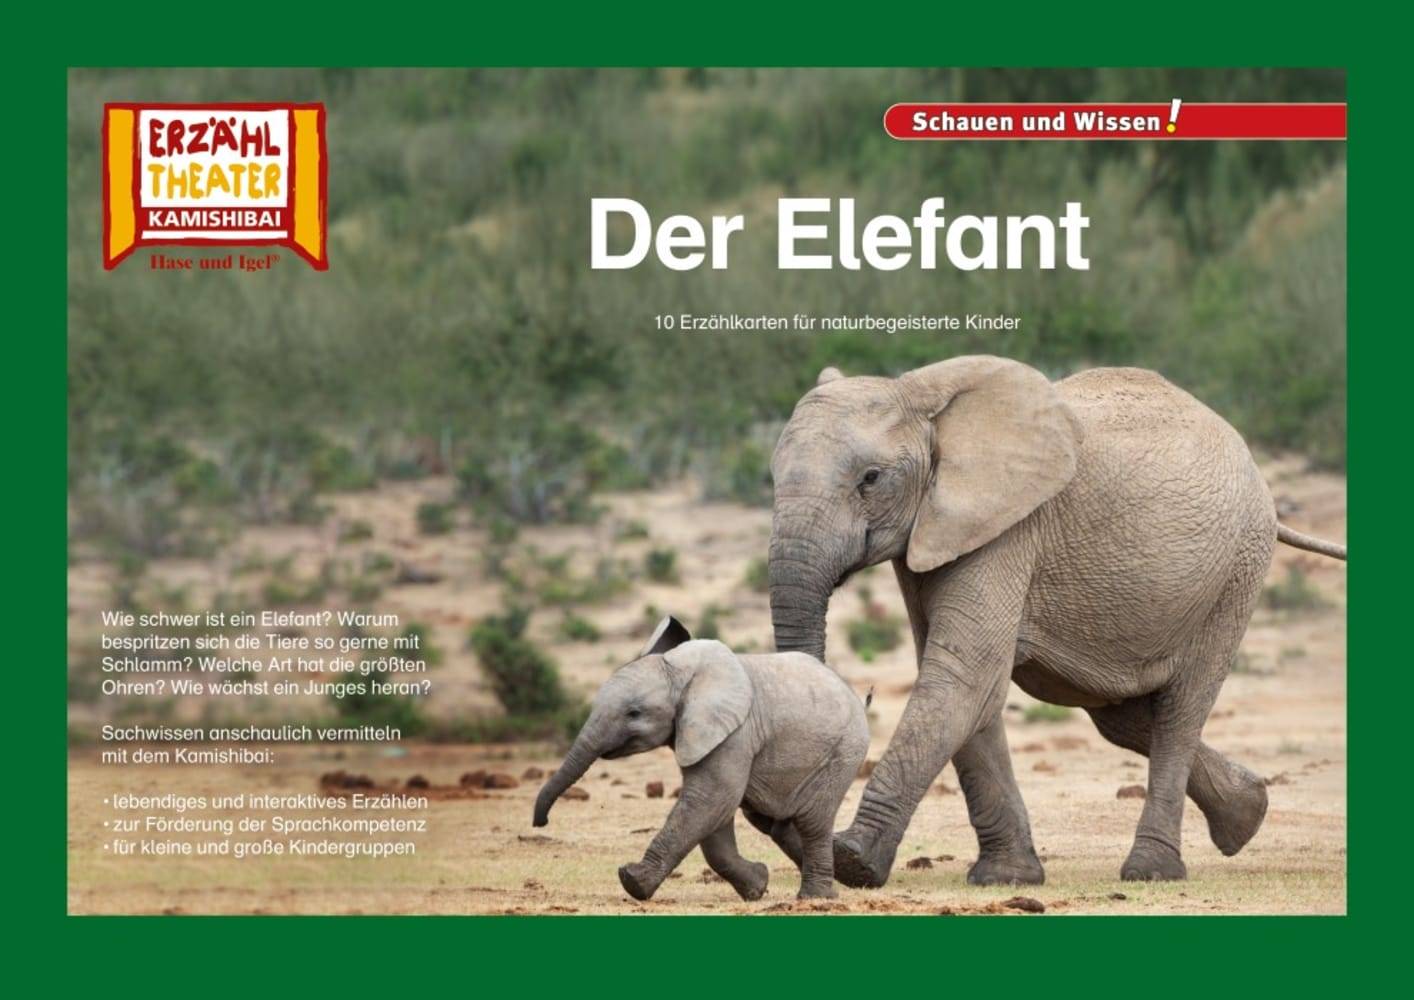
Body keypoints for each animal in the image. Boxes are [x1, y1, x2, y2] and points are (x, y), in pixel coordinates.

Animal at [533, 616, 869, 900]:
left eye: (634, 713)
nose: (541, 822)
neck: (682, 673)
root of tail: (855, 696)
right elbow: (714, 815)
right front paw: (757, 886)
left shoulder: (735, 733)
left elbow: (709, 799)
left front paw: (632, 881)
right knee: (776, 823)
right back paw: (837, 886)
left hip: (844, 751)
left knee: (812, 821)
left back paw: (815, 898)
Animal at [766, 355, 1347, 887]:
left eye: (870, 479)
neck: (921, 394)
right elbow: (969, 685)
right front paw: (1008, 879)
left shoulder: (1009, 527)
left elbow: (964, 676)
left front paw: (853, 862)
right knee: (1121, 716)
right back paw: (1247, 813)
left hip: (1236, 573)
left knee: (1180, 710)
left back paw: (1151, 871)